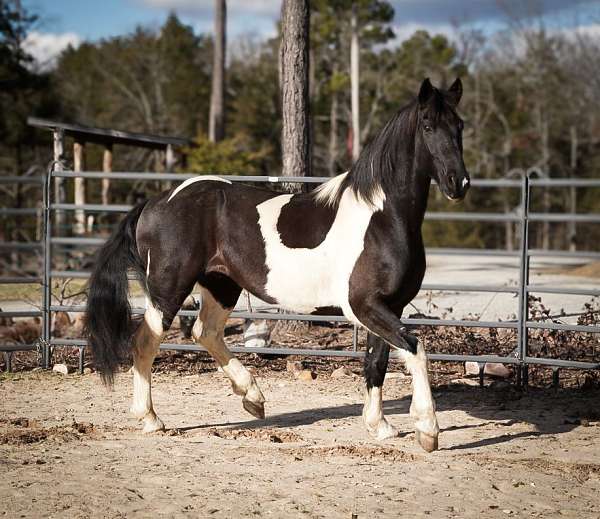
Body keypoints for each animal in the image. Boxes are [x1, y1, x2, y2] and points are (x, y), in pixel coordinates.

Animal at [85, 76, 468, 450]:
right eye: (428, 124)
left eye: (460, 126)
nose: (459, 183)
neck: (380, 218)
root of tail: (156, 202)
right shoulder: (364, 305)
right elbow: (415, 349)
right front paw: (428, 430)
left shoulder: (390, 306)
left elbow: (378, 362)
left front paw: (381, 426)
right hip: (168, 289)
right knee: (145, 342)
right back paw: (151, 419)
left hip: (222, 285)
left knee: (205, 332)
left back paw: (252, 397)